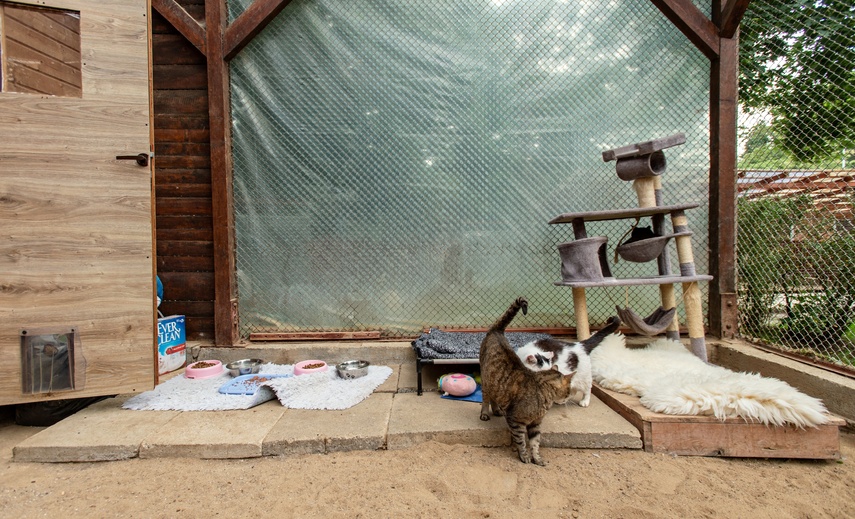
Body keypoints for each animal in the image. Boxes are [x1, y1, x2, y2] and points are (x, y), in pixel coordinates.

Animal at [478, 296, 572, 468]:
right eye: (569, 389)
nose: (568, 397)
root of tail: (497, 331)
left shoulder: (536, 424)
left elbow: (535, 443)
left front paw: (537, 458)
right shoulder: (516, 421)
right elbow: (521, 440)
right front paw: (524, 456)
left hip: (496, 383)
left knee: (495, 397)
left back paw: (497, 410)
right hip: (486, 379)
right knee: (486, 398)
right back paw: (485, 413)